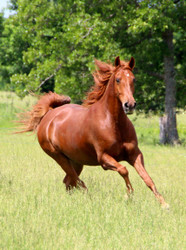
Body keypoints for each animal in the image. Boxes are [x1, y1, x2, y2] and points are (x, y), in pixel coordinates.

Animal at [18, 57, 169, 209]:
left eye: (134, 79)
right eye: (118, 79)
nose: (130, 105)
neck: (113, 123)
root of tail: (49, 115)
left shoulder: (135, 154)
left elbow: (147, 178)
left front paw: (164, 204)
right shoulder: (104, 158)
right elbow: (124, 170)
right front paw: (128, 196)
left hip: (76, 161)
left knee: (69, 181)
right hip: (59, 157)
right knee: (77, 182)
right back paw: (89, 200)